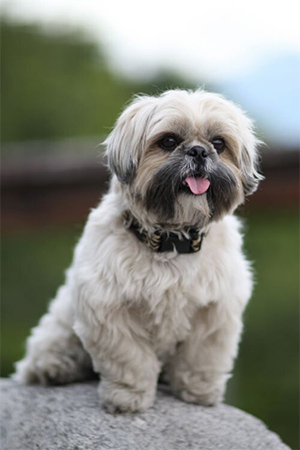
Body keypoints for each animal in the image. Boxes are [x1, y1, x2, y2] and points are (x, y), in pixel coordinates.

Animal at [14, 89, 262, 414]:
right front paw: (127, 396)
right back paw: (54, 366)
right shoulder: (109, 309)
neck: (171, 240)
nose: (199, 152)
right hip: (62, 322)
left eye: (219, 143)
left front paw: (198, 391)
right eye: (168, 141)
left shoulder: (215, 311)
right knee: (49, 347)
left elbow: (201, 356)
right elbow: (129, 358)